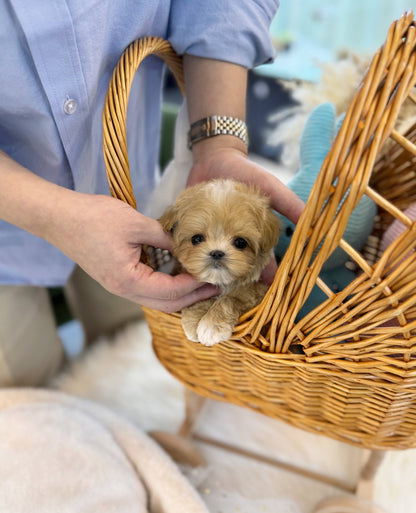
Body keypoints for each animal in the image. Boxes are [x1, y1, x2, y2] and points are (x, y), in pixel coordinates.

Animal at [158, 178, 280, 346]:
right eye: (196, 239)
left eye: (240, 242)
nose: (217, 253)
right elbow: (199, 296)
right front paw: (193, 320)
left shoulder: (260, 294)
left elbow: (232, 298)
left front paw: (212, 325)